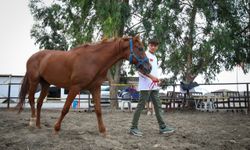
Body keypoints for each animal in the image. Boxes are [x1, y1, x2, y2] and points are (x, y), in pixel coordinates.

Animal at [17, 35, 151, 136]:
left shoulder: (95, 88)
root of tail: (32, 57)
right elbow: (65, 109)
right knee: (31, 99)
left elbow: (98, 110)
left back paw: (39, 125)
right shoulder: (75, 87)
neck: (94, 60)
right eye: (140, 48)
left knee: (39, 103)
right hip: (34, 82)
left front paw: (103, 131)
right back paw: (32, 122)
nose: (149, 68)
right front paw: (56, 128)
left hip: (45, 84)